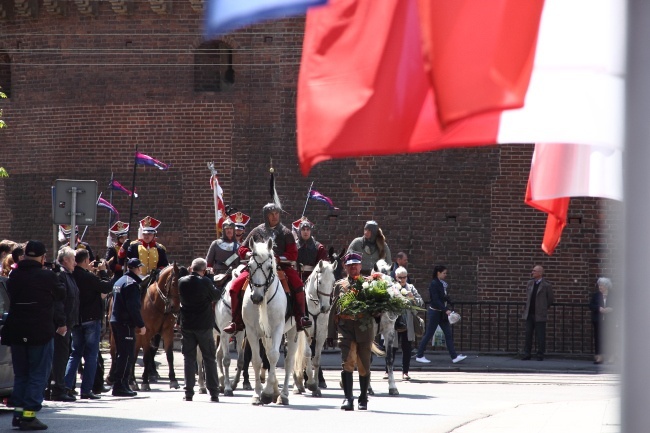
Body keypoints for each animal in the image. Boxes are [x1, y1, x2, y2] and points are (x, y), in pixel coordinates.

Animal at [242, 238, 298, 404]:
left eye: (268, 267)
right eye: (250, 266)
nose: (256, 297)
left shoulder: (278, 328)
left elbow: (274, 356)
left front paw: (266, 393)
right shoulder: (252, 331)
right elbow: (257, 360)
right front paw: (257, 394)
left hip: (293, 332)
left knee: (288, 361)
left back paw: (283, 394)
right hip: (266, 335)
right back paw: (275, 390)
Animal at [292, 258, 336, 396]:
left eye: (333, 281)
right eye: (320, 282)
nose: (326, 308)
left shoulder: (321, 335)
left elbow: (316, 358)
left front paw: (315, 386)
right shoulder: (304, 332)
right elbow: (307, 353)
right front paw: (310, 383)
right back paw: (296, 384)